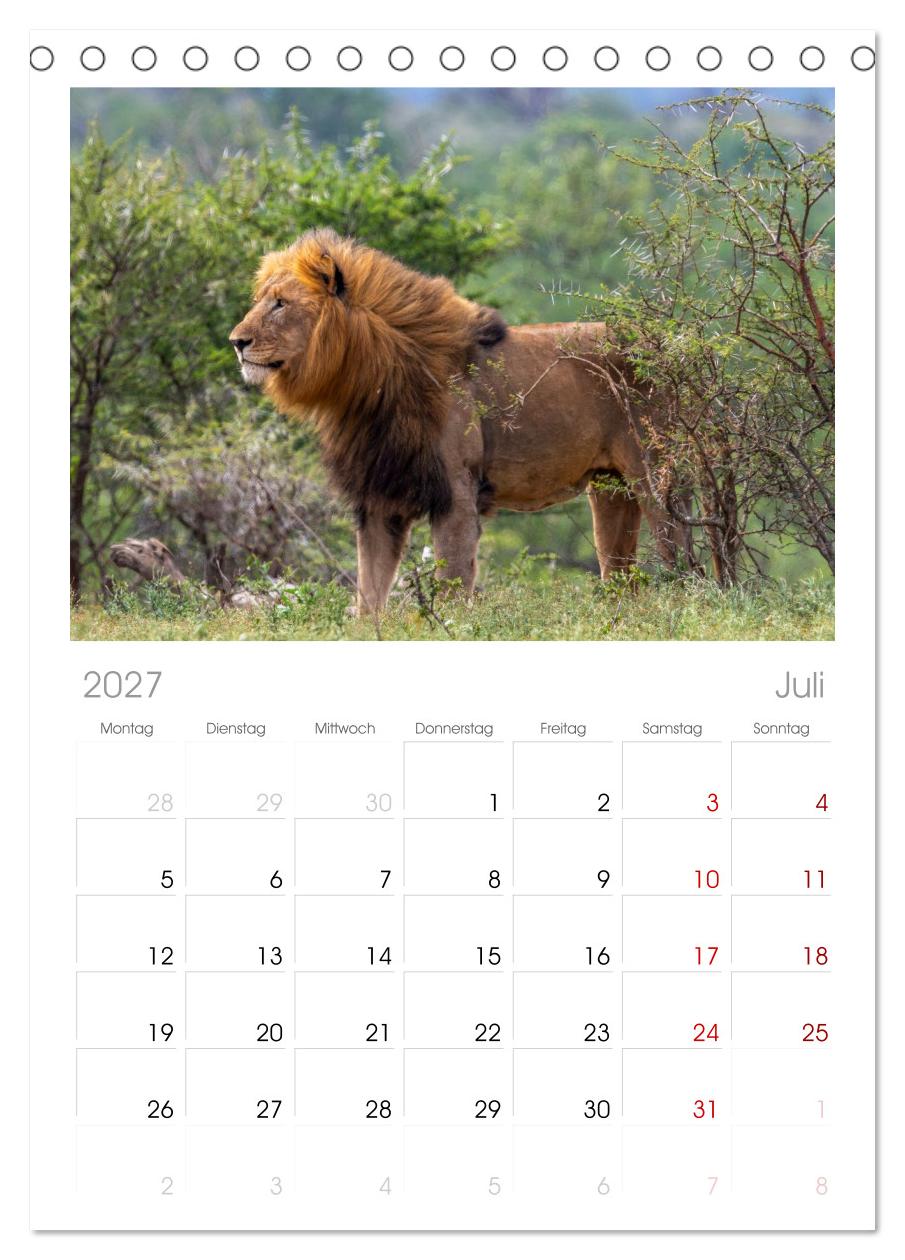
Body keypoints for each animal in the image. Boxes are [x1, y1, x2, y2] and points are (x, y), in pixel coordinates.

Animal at [229, 228, 679, 612]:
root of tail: (668, 343)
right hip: (610, 487)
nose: (236, 342)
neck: (365, 384)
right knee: (623, 579)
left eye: (280, 303)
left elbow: (452, 584)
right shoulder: (378, 499)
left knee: (681, 561)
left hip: (656, 477)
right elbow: (369, 597)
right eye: (263, 299)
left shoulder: (457, 492)